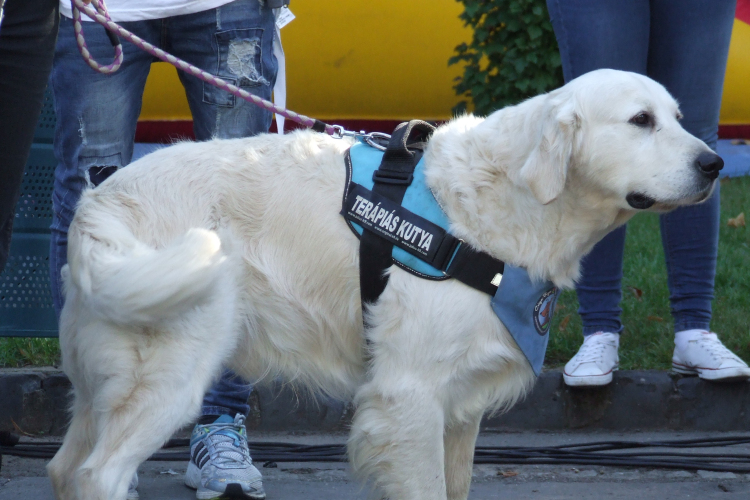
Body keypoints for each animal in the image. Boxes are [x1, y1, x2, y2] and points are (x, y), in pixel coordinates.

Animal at [47, 69, 724, 500]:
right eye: (640, 120)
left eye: (677, 118)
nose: (715, 163)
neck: (508, 200)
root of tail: (100, 201)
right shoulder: (408, 395)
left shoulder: (459, 404)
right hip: (170, 372)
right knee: (97, 475)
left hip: (99, 386)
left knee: (62, 469)